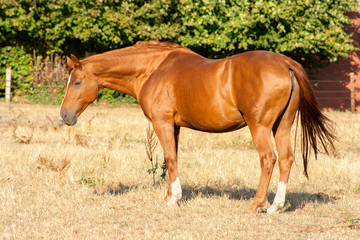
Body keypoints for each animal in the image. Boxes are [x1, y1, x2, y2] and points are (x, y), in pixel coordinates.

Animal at [59, 41, 334, 214]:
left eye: (77, 82)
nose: (64, 115)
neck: (153, 69)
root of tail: (285, 62)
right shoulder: (174, 126)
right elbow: (171, 159)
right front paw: (169, 196)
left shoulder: (162, 123)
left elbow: (170, 158)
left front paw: (174, 199)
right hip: (282, 126)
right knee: (286, 159)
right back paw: (276, 206)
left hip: (260, 127)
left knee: (268, 159)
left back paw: (256, 205)